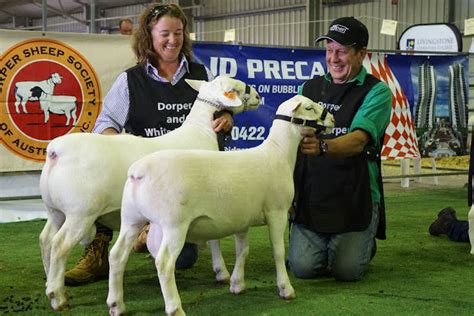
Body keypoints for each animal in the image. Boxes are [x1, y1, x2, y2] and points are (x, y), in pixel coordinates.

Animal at [39, 76, 262, 312]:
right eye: (235, 89)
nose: (258, 96)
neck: (201, 131)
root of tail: (55, 151)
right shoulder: (208, 201)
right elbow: (214, 240)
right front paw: (222, 272)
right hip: (81, 212)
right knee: (59, 245)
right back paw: (58, 297)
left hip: (55, 210)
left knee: (46, 240)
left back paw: (52, 285)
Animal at [105, 94, 336, 316]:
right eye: (309, 108)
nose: (333, 119)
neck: (279, 152)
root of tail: (139, 172)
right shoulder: (277, 212)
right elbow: (278, 252)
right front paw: (285, 288)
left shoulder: (243, 218)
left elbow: (243, 250)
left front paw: (237, 284)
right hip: (174, 224)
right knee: (164, 263)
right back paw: (174, 308)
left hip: (131, 219)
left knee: (117, 255)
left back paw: (116, 305)